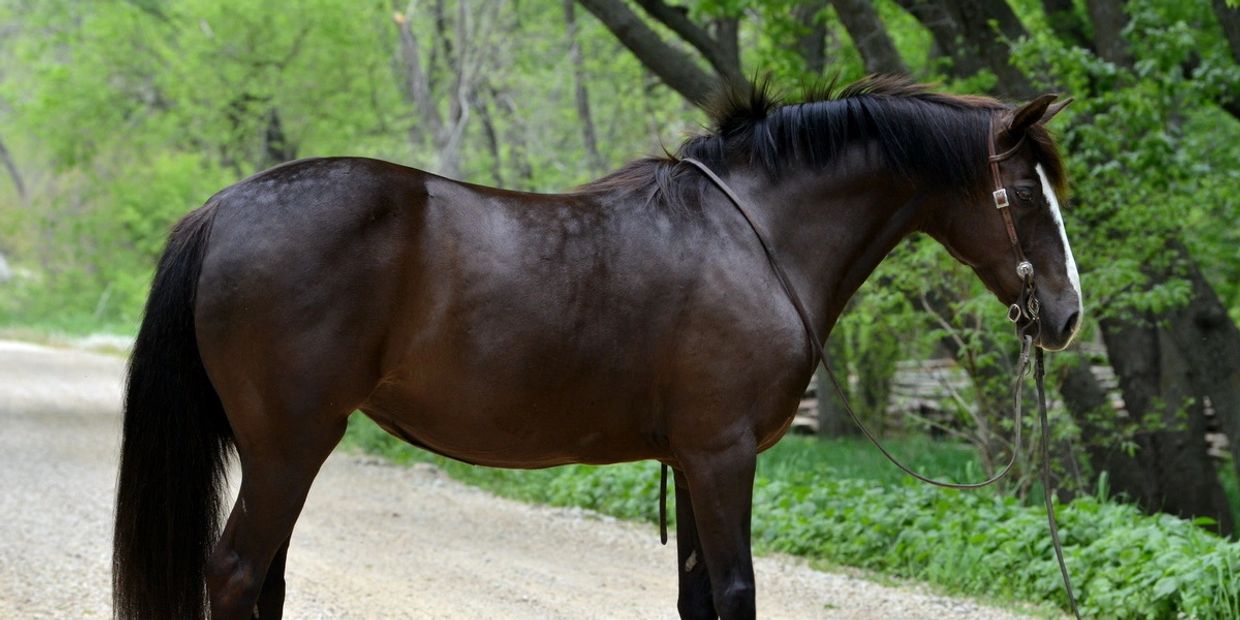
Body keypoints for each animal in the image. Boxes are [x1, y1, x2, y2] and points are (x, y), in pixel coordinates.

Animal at [112, 76, 1081, 620]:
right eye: (1024, 190)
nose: (1069, 315)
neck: (755, 235)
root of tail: (224, 208)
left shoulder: (692, 461)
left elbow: (698, 598)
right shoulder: (724, 457)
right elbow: (736, 594)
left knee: (262, 582)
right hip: (290, 446)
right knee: (238, 575)